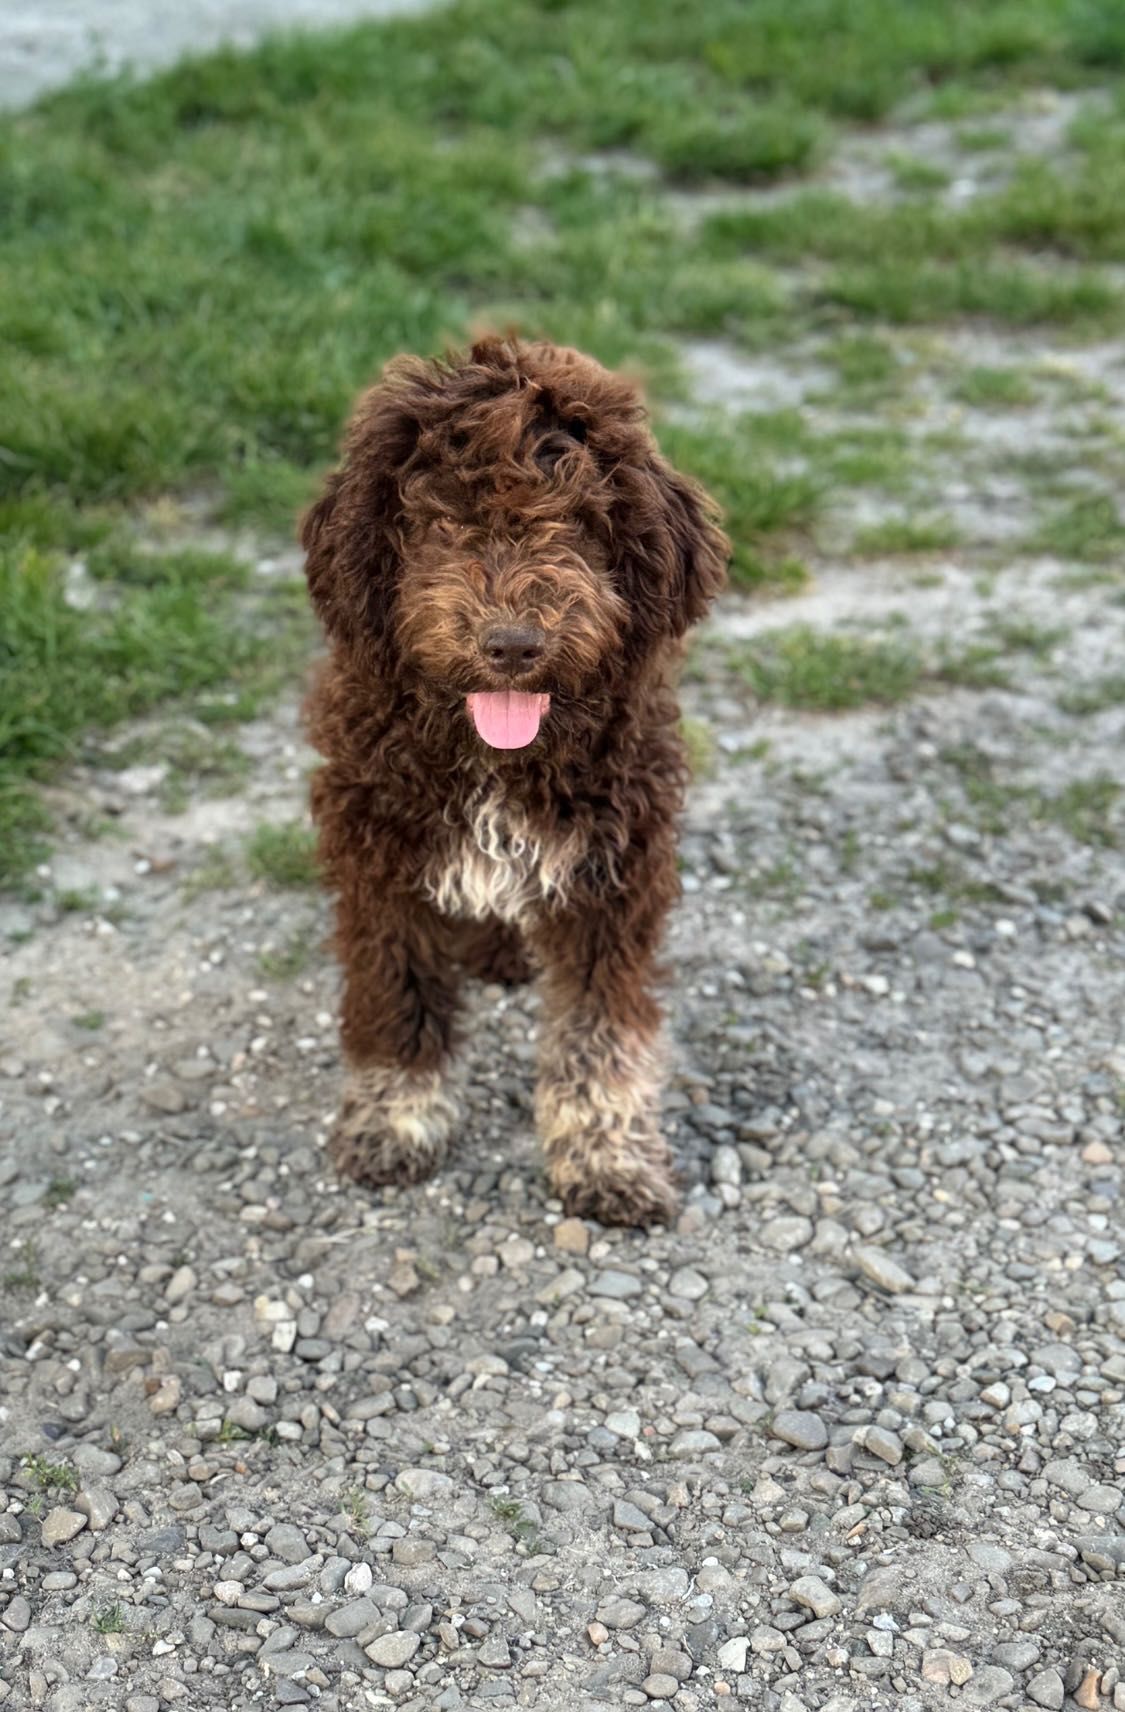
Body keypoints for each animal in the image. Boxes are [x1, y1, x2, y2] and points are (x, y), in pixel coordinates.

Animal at [304, 326, 729, 1225]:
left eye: (577, 520)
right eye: (438, 519)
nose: (510, 644)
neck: (500, 763)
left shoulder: (612, 880)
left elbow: (598, 1035)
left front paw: (605, 1156)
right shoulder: (382, 872)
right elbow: (398, 1005)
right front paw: (392, 1123)